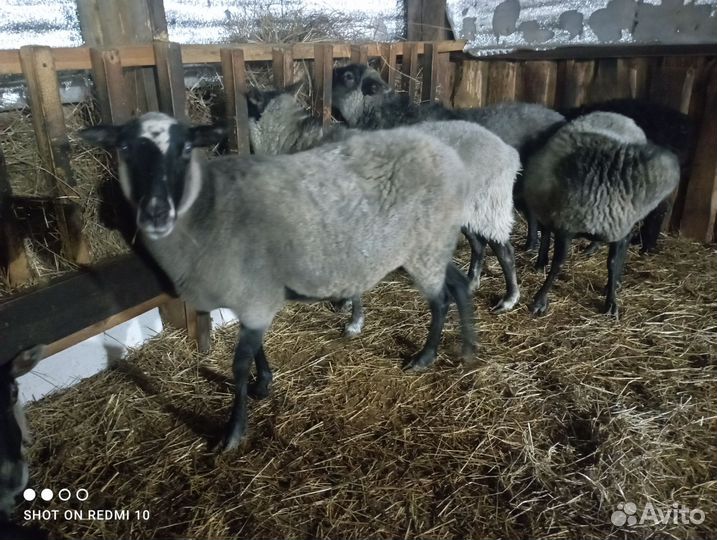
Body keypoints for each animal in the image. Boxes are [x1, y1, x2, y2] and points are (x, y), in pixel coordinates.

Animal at [79, 112, 476, 451]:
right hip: (430, 245)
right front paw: (263, 383)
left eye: (186, 148)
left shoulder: (255, 296)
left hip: (426, 244)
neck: (208, 210)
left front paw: (233, 431)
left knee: (440, 300)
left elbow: (239, 364)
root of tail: (444, 152)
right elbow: (255, 351)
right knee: (457, 285)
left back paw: (425, 357)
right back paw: (468, 346)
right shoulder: (252, 294)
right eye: (124, 148)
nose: (157, 212)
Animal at [522, 111, 680, 317]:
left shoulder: (620, 229)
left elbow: (613, 263)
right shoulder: (566, 226)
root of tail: (616, 115)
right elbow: (559, 263)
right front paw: (540, 300)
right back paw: (541, 262)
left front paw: (611, 300)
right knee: (546, 232)